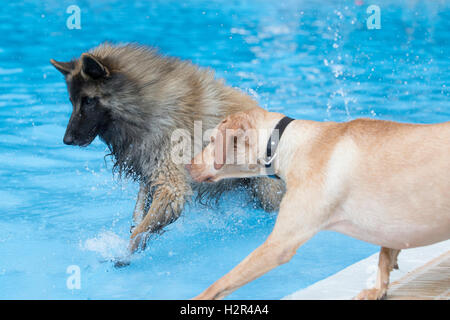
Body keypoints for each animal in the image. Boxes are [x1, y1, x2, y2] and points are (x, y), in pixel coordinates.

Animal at [50, 43, 284, 258]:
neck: (142, 101)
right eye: (72, 101)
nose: (67, 140)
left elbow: (144, 225)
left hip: (266, 191)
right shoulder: (151, 169)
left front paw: (125, 254)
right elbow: (140, 210)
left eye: (89, 101)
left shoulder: (171, 182)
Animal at [186, 107, 450, 300]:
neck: (288, 144)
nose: (187, 165)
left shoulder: (278, 245)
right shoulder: (393, 225)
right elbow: (386, 252)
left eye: (212, 140)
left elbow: (222, 282)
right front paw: (379, 287)